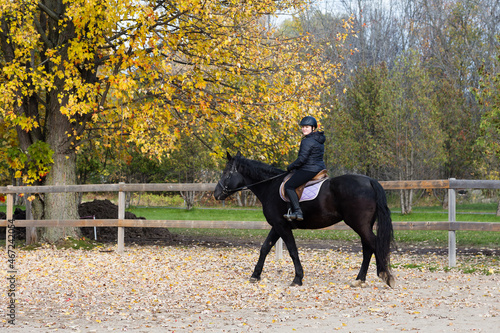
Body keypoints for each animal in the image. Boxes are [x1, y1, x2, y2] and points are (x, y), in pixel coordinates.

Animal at [214, 152, 394, 286]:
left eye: (225, 173)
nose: (216, 194)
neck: (270, 186)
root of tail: (369, 181)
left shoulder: (281, 226)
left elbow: (292, 250)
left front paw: (297, 278)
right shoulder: (277, 226)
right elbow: (265, 247)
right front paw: (255, 275)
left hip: (359, 224)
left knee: (374, 244)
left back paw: (386, 276)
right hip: (364, 225)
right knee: (368, 247)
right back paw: (360, 280)